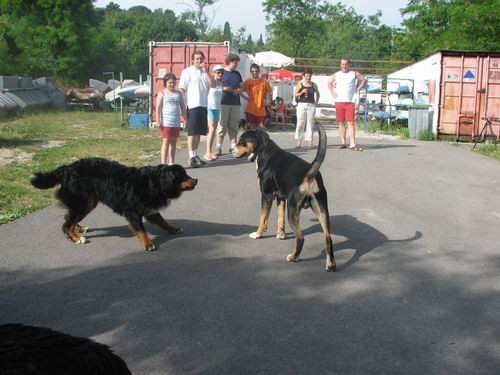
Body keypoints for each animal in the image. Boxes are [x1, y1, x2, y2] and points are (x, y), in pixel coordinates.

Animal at [28, 157, 197, 251]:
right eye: (183, 175)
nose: (196, 180)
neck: (153, 182)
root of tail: (66, 168)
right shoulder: (133, 212)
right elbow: (141, 231)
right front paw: (148, 244)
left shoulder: (150, 209)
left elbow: (163, 222)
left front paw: (173, 229)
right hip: (82, 202)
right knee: (66, 223)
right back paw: (76, 238)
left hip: (88, 202)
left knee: (68, 218)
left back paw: (79, 229)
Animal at [231, 125, 336, 272]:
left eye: (242, 141)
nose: (231, 150)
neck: (264, 151)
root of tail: (309, 172)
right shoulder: (280, 197)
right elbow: (280, 218)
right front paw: (281, 235)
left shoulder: (266, 196)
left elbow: (262, 218)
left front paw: (258, 234)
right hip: (322, 211)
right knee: (328, 238)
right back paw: (330, 264)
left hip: (293, 211)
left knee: (300, 238)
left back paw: (293, 257)